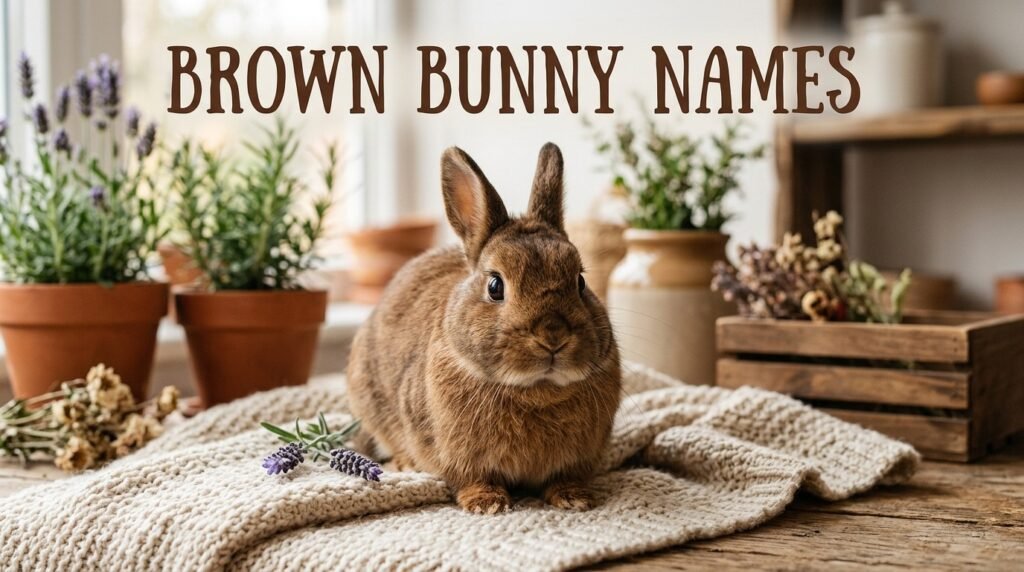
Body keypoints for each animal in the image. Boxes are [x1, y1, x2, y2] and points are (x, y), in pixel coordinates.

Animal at [347, 142, 621, 514]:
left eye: (579, 282)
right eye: (495, 286)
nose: (553, 336)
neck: (537, 391)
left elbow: (566, 478)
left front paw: (574, 497)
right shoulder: (458, 457)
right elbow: (472, 478)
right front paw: (486, 503)